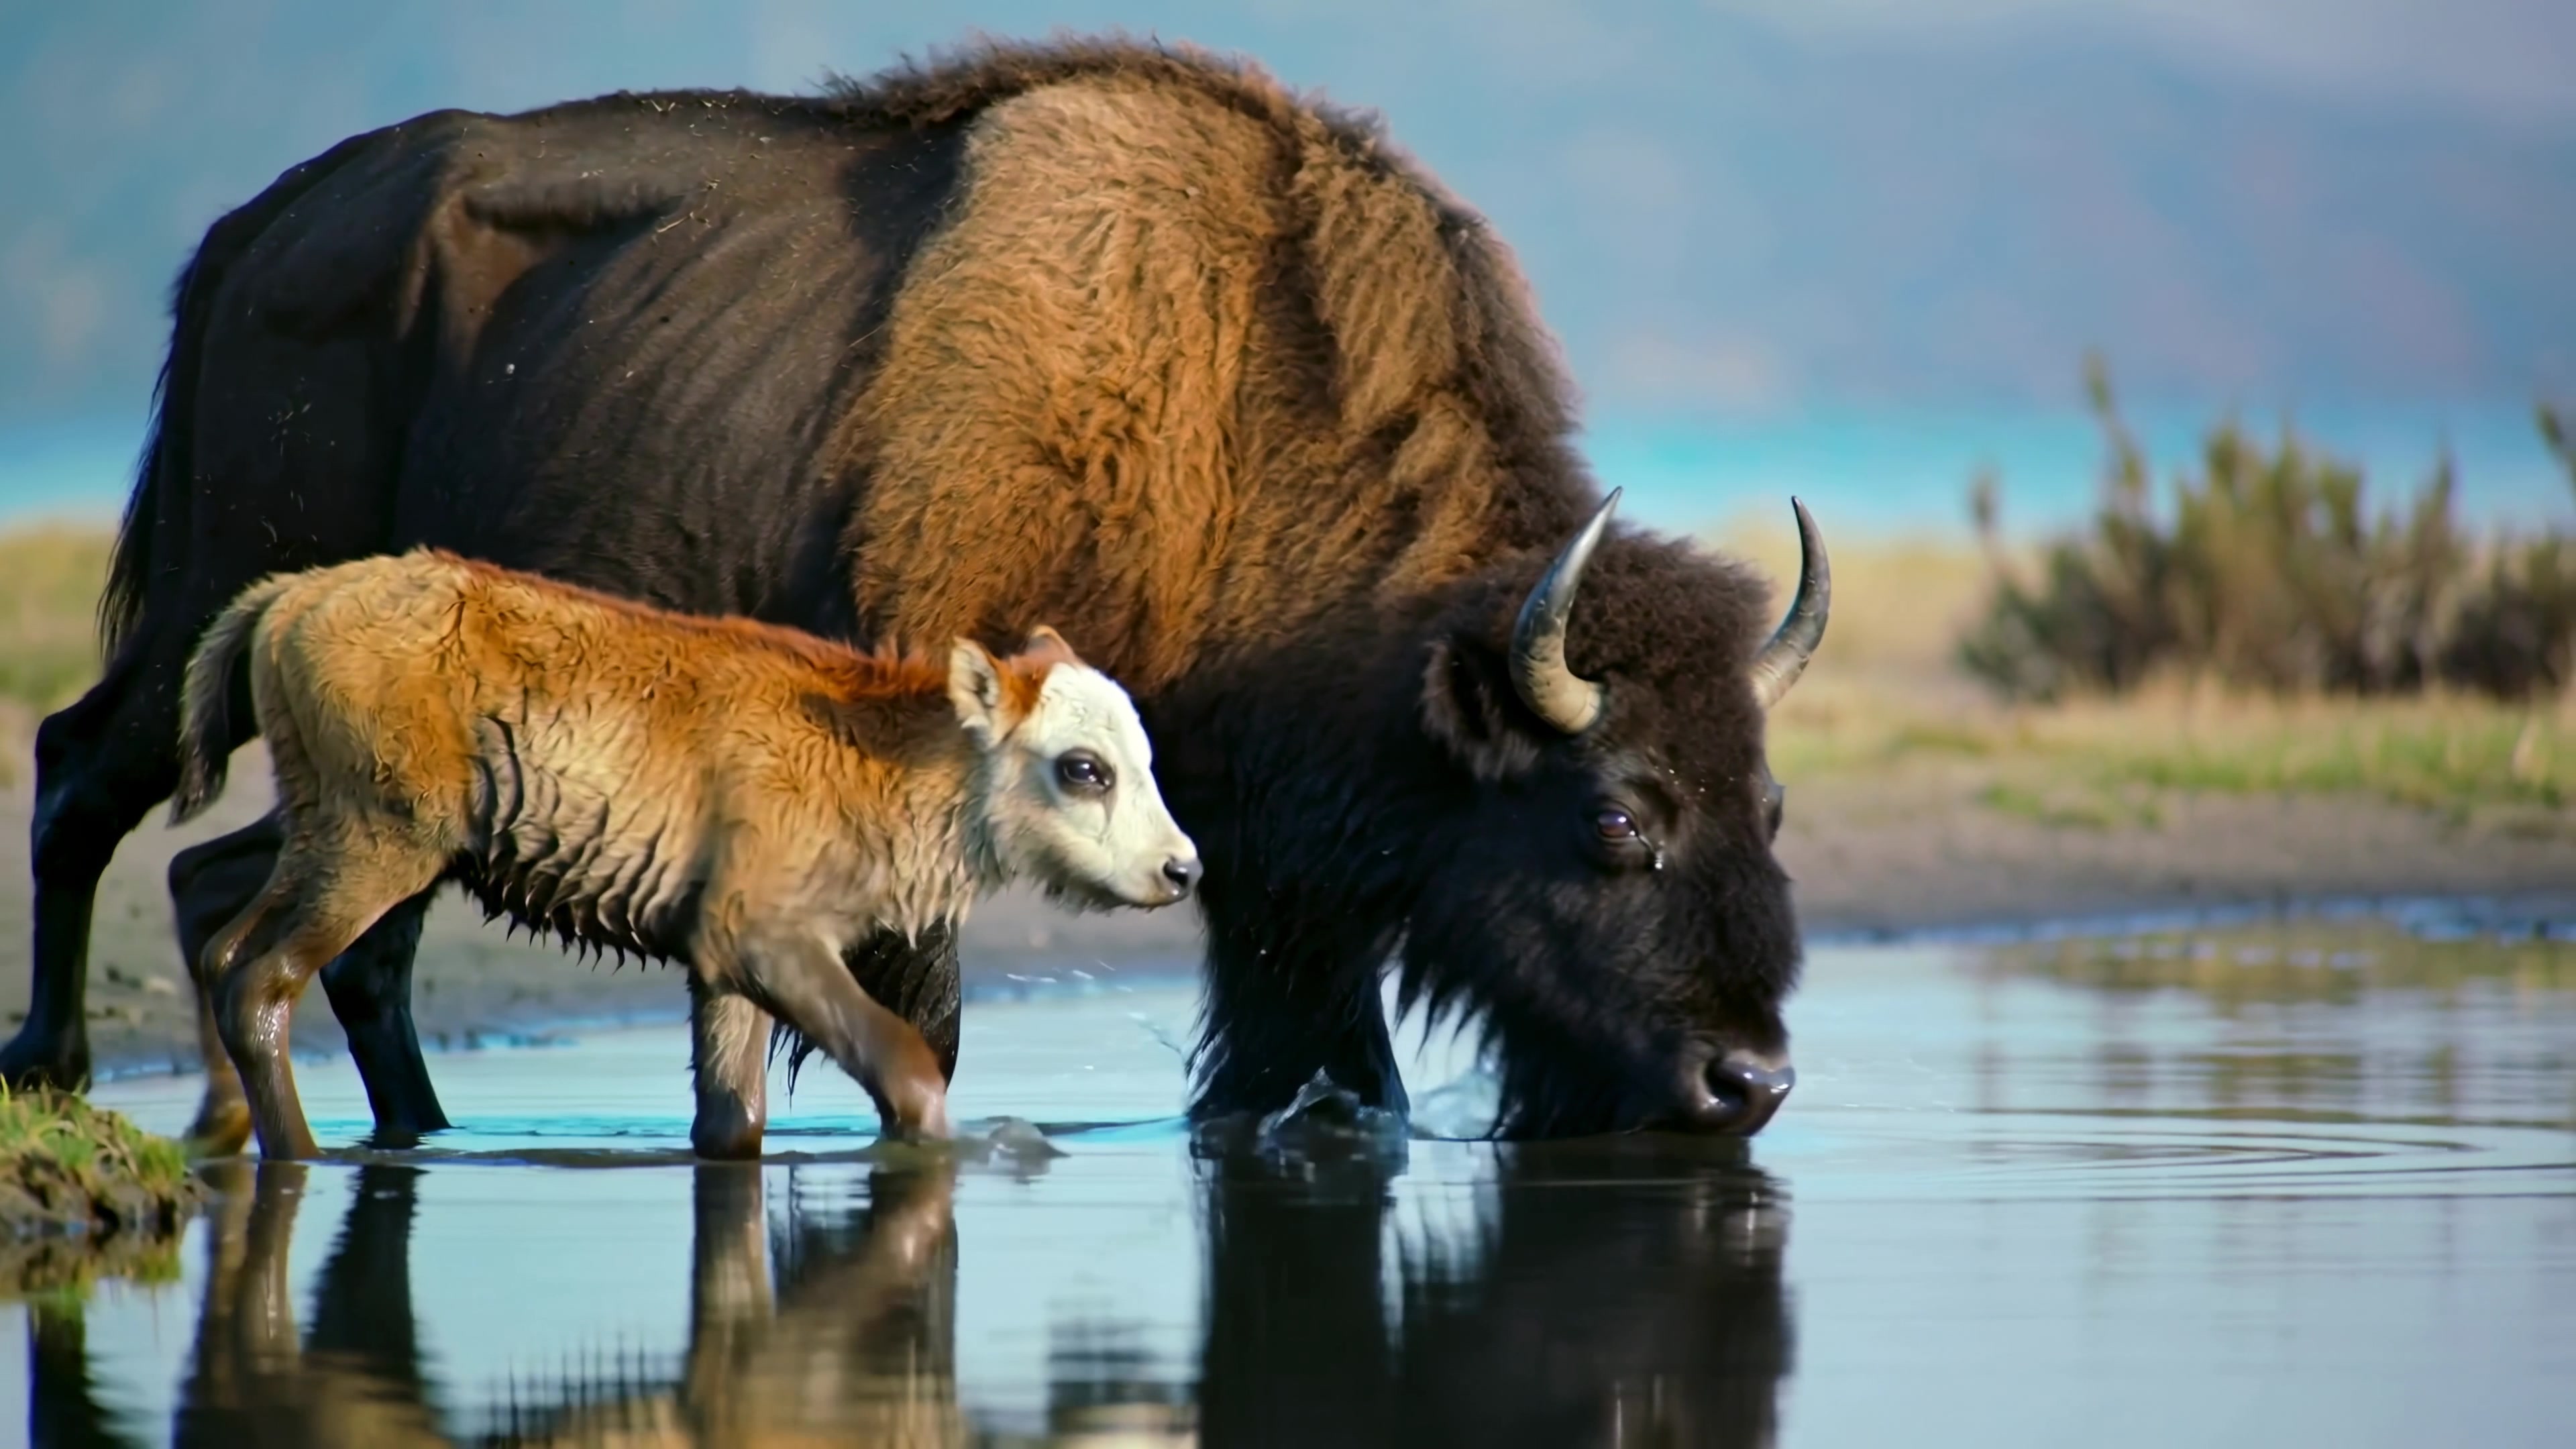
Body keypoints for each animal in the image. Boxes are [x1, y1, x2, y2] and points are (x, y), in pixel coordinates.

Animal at [169, 549, 1198, 1159]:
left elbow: (731, 1118)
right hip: (381, 841)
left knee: (209, 909)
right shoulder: (760, 936)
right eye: (1083, 768)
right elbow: (903, 1058)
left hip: (328, 824)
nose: (1180, 869)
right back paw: (299, 1153)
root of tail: (289, 597)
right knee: (260, 977)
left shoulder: (721, 961)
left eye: (1147, 757)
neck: (881, 757)